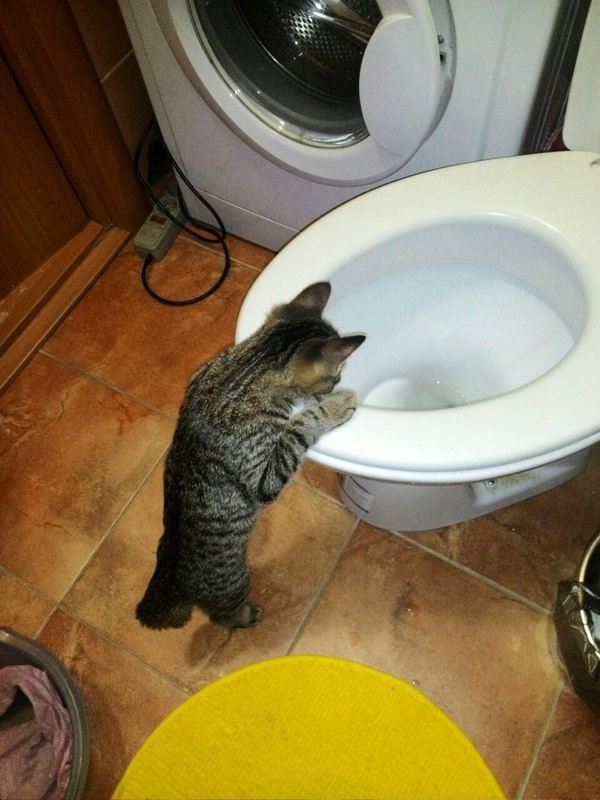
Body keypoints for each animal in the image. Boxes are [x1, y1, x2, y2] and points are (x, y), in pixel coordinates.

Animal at [136, 282, 365, 629]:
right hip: (235, 584)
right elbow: (298, 429)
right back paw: (249, 615)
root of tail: (170, 578)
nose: (336, 386)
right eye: (336, 378)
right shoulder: (263, 480)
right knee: (222, 617)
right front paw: (335, 407)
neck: (247, 368)